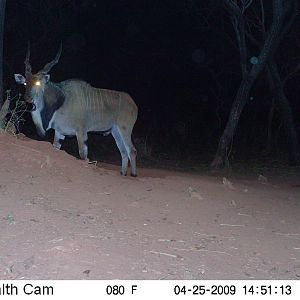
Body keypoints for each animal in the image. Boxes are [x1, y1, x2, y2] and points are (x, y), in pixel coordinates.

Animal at [14, 44, 138, 176]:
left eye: (37, 83)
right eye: (25, 83)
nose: (28, 98)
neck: (61, 100)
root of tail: (133, 103)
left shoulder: (81, 131)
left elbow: (83, 155)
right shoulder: (60, 132)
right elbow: (55, 148)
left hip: (125, 129)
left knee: (132, 150)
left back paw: (133, 175)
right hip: (115, 131)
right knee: (123, 152)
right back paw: (123, 173)